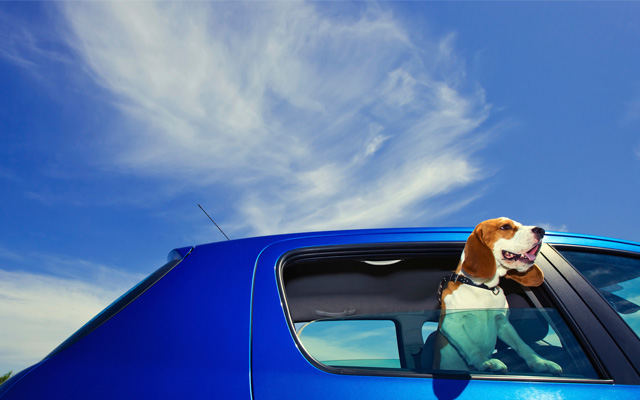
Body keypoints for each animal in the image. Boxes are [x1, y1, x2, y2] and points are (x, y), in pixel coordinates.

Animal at [438, 217, 564, 374]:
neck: (482, 288)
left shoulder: (503, 322)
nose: (541, 230)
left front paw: (540, 361)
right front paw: (484, 362)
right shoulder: (450, 324)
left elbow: (521, 344)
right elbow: (471, 346)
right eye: (505, 227)